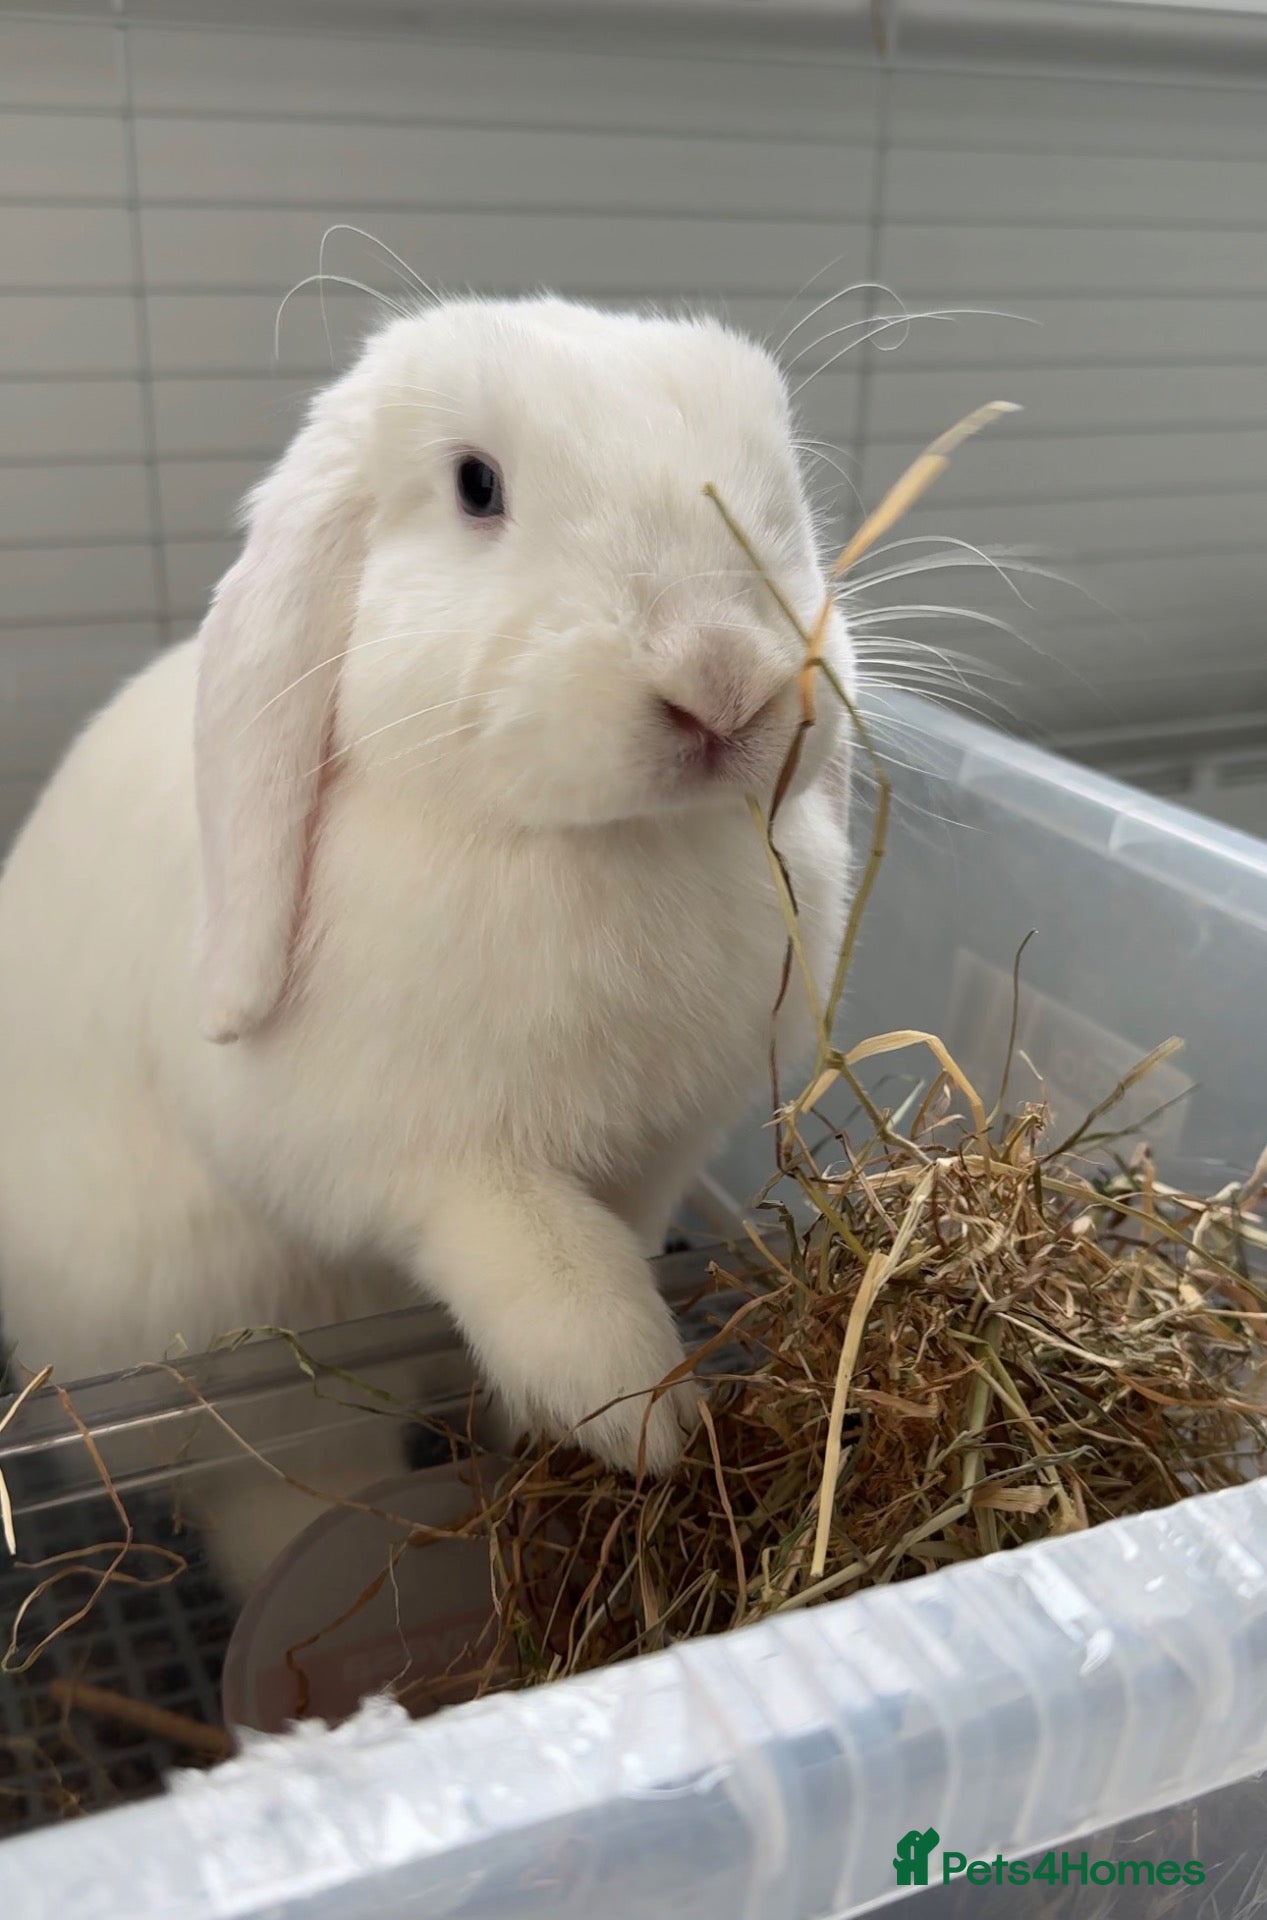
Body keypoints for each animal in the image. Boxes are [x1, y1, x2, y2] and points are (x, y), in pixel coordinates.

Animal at [0, 295, 852, 1596]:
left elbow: (622, 1234)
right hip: (252, 1373)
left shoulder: (656, 1156)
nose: (721, 680)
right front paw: (640, 1421)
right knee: (281, 1497)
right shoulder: (424, 1162)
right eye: (475, 486)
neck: (599, 845)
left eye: (784, 481)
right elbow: (542, 1258)